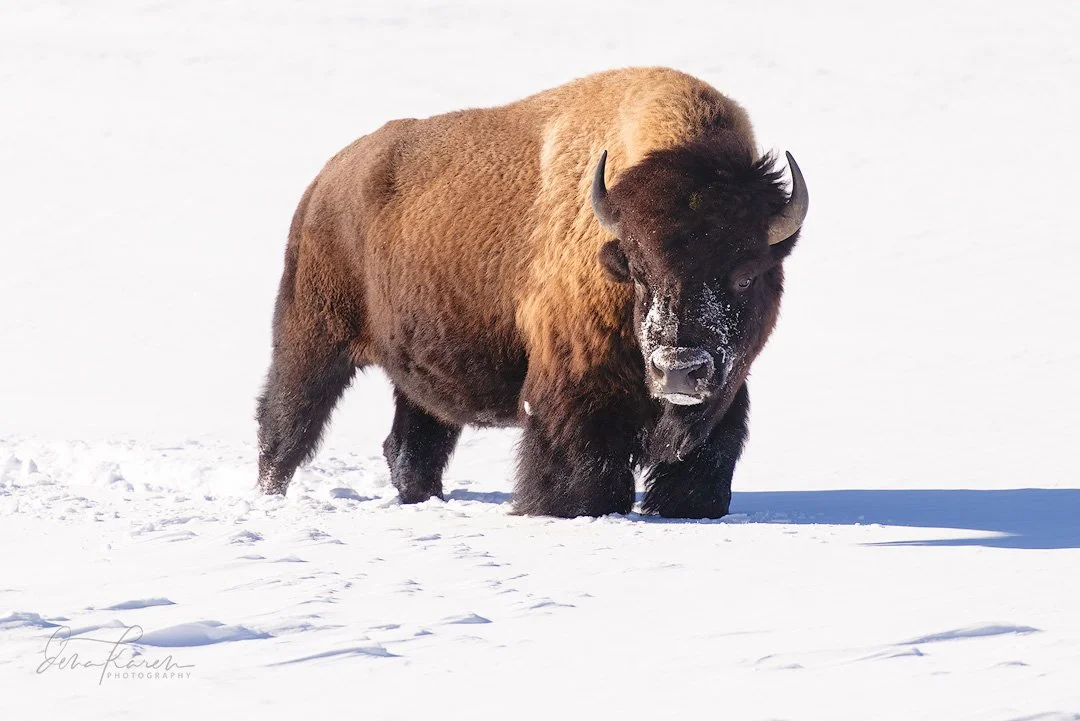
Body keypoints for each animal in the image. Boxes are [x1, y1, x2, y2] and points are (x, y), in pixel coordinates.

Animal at [256, 67, 808, 518]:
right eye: (638, 271)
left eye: (745, 275)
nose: (678, 369)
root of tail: (326, 182)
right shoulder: (573, 390)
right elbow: (583, 478)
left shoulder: (724, 400)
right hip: (313, 340)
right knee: (286, 424)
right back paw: (269, 496)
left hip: (417, 368)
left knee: (412, 444)